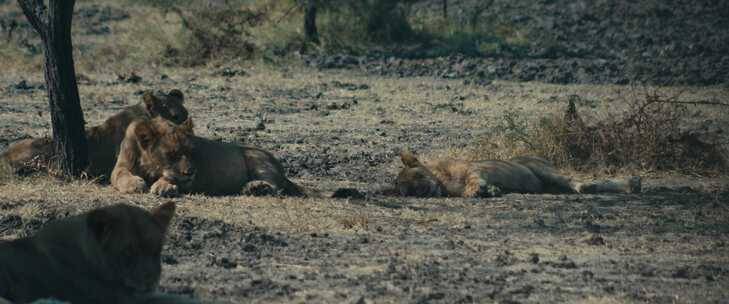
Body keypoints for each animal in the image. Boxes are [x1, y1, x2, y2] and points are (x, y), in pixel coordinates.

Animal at [111, 116, 304, 197]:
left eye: (191, 151)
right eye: (171, 154)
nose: (191, 172)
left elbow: (170, 178)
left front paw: (163, 186)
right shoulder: (121, 166)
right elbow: (121, 175)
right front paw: (134, 184)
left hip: (254, 156)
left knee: (276, 186)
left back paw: (256, 187)